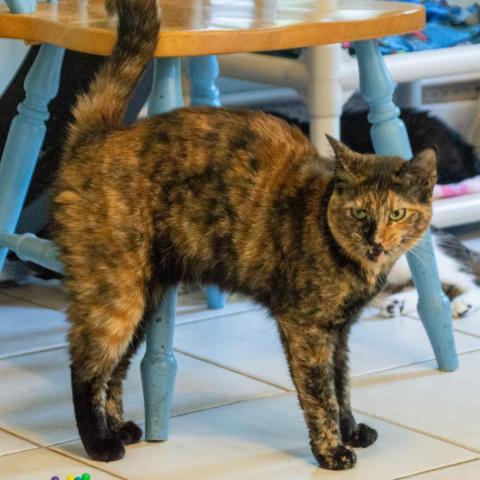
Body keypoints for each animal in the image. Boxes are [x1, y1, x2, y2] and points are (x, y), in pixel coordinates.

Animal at [53, 0, 438, 472]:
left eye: (397, 213)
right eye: (359, 212)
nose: (376, 241)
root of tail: (103, 133)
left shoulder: (340, 333)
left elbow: (342, 384)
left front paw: (350, 430)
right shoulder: (306, 328)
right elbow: (321, 395)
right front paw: (331, 450)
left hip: (144, 298)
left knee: (116, 368)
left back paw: (119, 429)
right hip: (116, 293)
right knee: (86, 367)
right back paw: (100, 445)